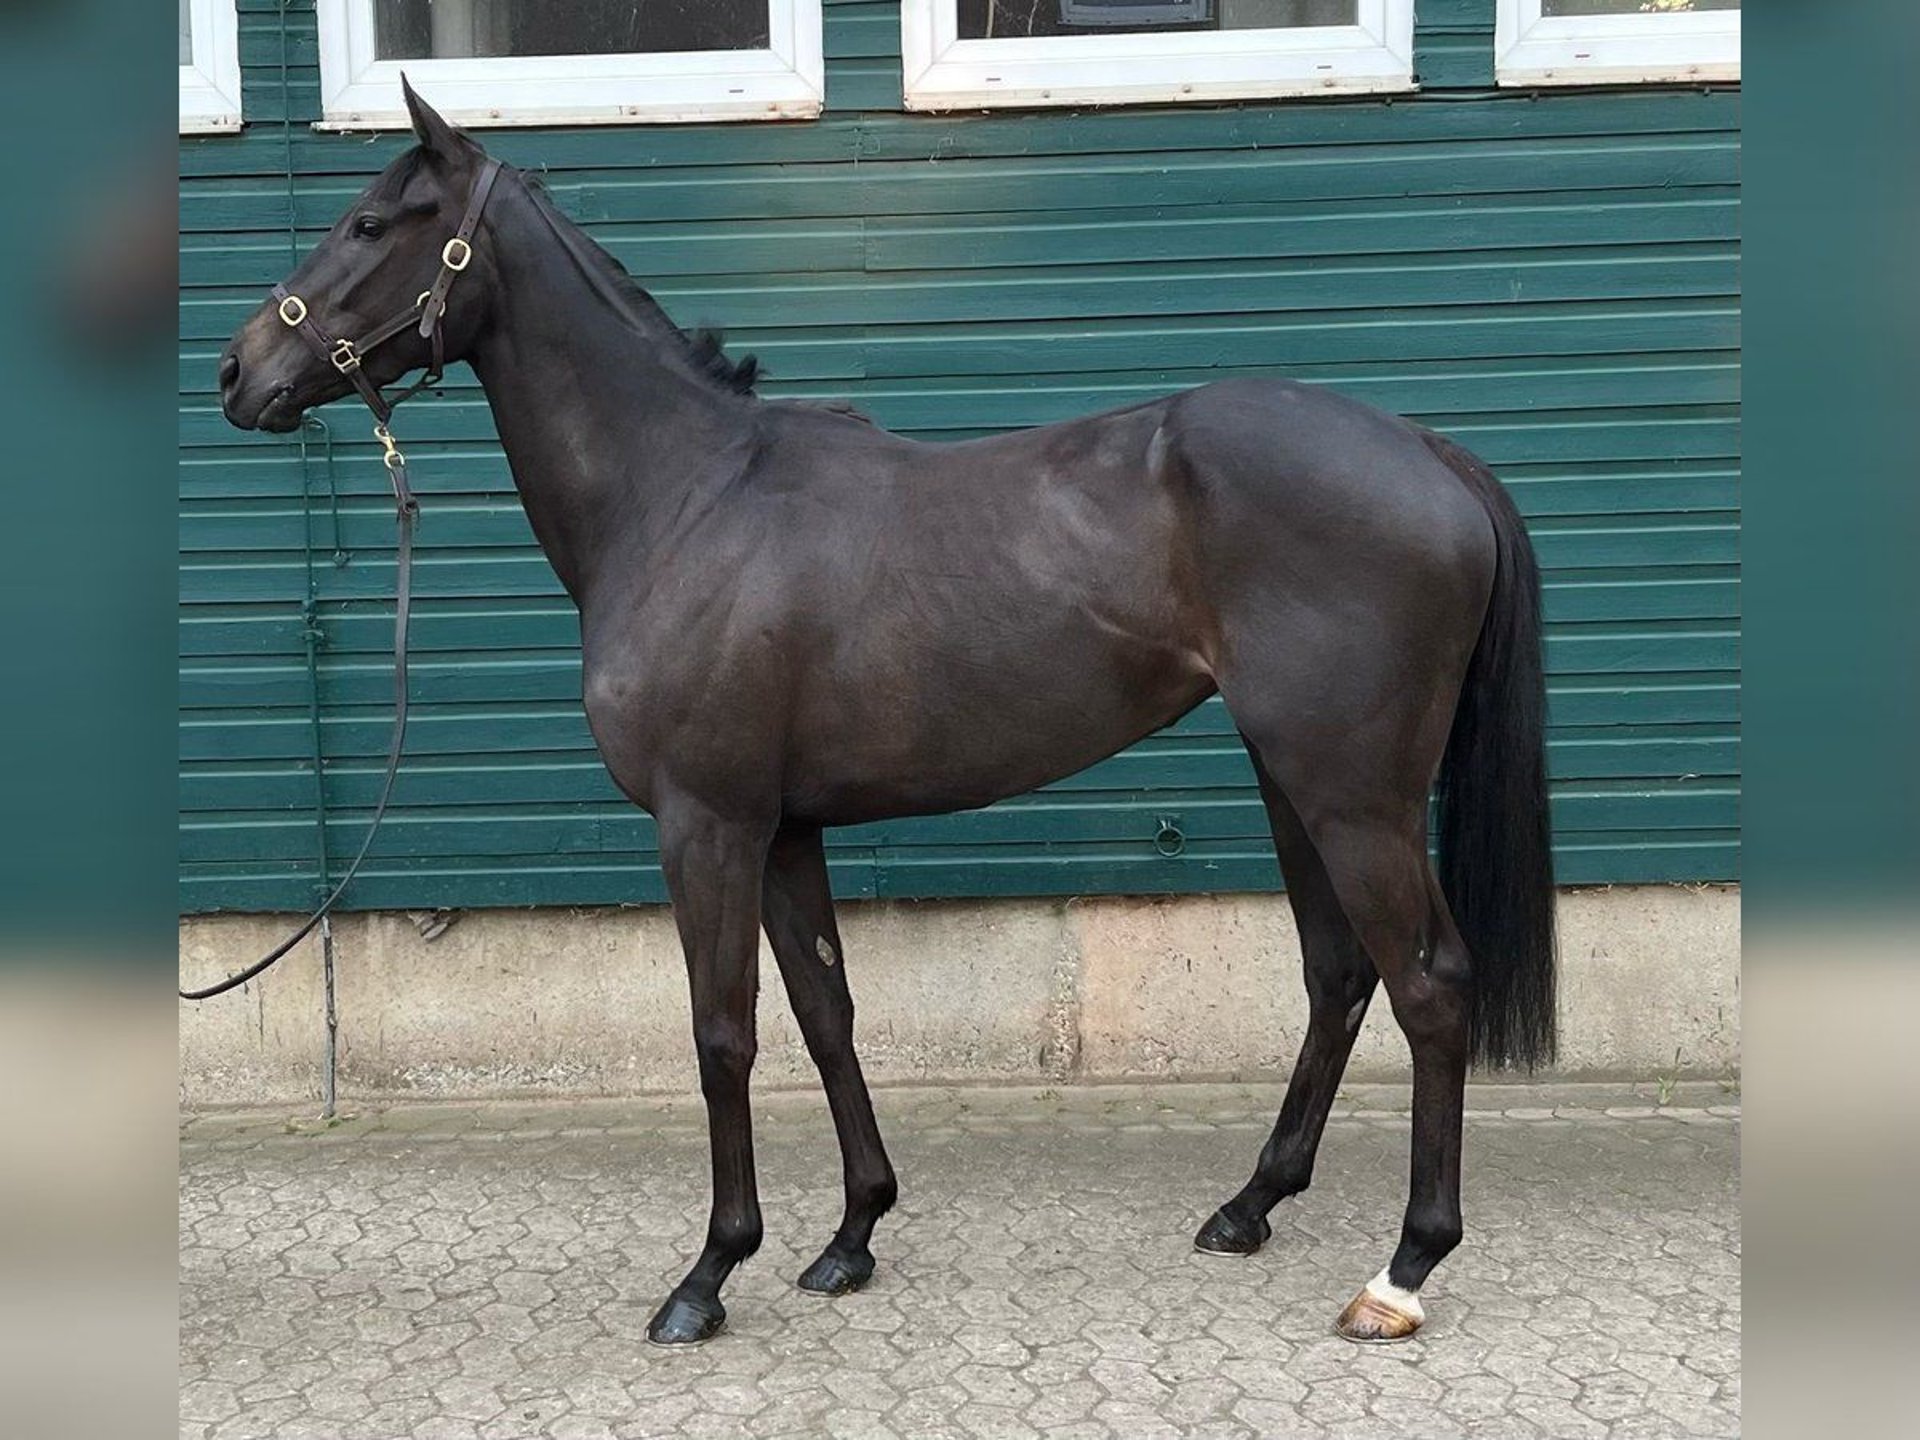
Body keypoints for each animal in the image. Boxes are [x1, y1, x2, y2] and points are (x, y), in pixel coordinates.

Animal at [216, 81, 1556, 1348]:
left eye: (371, 223)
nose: (239, 373)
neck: (688, 495)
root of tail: (1430, 455)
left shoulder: (707, 824)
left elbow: (722, 1033)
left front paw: (707, 1277)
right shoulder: (784, 829)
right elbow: (825, 1013)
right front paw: (851, 1235)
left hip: (1354, 796)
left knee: (1428, 984)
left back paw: (1401, 1272)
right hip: (1294, 777)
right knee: (1339, 974)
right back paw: (1248, 1206)